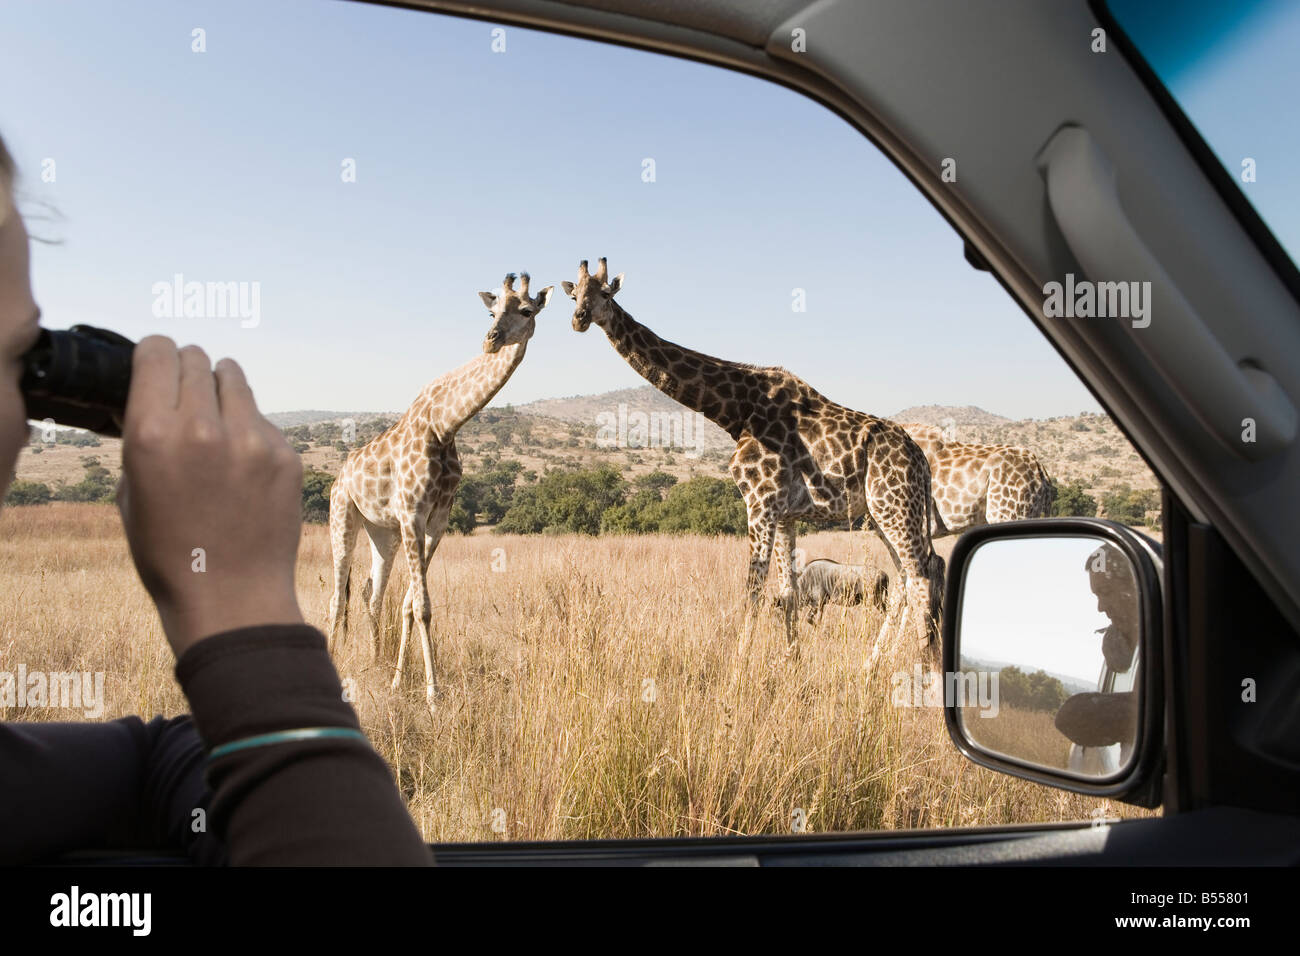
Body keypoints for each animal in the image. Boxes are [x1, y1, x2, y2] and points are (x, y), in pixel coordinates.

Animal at [330, 269, 553, 702]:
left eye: (526, 309)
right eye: (491, 311)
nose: (491, 339)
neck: (445, 424)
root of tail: (337, 477)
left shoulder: (436, 521)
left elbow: (408, 604)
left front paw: (399, 680)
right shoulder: (412, 515)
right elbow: (422, 606)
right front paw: (433, 694)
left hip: (382, 533)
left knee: (371, 592)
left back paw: (376, 662)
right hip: (342, 518)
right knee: (337, 594)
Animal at [561, 261, 946, 665]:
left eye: (606, 293)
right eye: (574, 296)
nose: (579, 319)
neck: (736, 410)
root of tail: (921, 461)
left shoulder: (760, 502)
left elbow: (753, 593)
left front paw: (737, 670)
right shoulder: (786, 514)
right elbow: (787, 592)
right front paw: (792, 662)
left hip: (894, 508)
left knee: (921, 576)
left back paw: (923, 664)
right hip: (882, 512)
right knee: (907, 577)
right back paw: (872, 665)